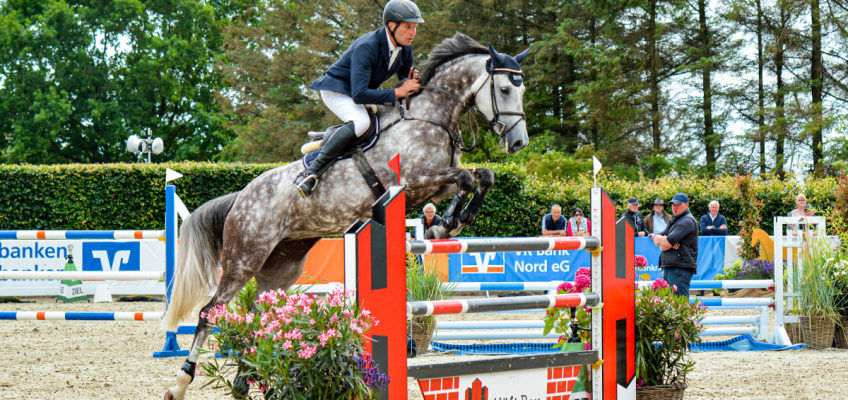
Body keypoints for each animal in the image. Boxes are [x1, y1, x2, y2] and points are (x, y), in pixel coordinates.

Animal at [161, 32, 528, 398]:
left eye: (521, 89)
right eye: (504, 89)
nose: (519, 144)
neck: (432, 117)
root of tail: (241, 197)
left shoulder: (434, 186)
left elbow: (481, 176)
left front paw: (453, 222)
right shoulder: (414, 180)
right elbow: (465, 178)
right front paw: (449, 223)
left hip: (281, 266)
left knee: (258, 316)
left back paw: (244, 382)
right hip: (244, 258)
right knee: (209, 312)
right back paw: (181, 384)